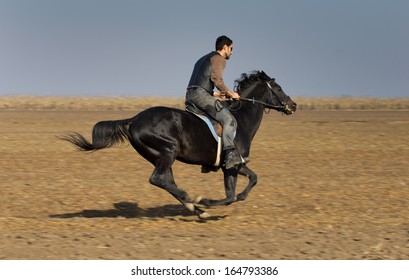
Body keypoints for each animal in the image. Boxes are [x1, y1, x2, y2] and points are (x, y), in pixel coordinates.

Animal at [61, 70, 296, 219]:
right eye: (278, 87)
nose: (293, 105)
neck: (242, 120)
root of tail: (134, 119)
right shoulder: (231, 165)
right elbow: (231, 196)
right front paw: (206, 201)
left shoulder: (235, 164)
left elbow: (251, 180)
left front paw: (211, 203)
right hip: (168, 151)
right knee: (158, 179)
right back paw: (192, 201)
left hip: (159, 157)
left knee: (166, 181)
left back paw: (194, 207)